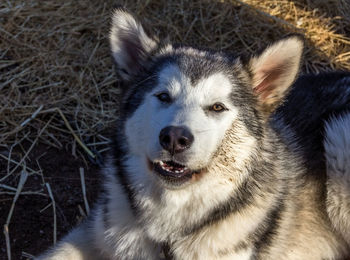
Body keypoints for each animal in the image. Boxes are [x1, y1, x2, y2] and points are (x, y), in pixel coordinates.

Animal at [39, 8, 350, 260]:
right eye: (163, 96)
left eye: (217, 107)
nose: (175, 138)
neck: (169, 230)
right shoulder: (97, 232)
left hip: (338, 138)